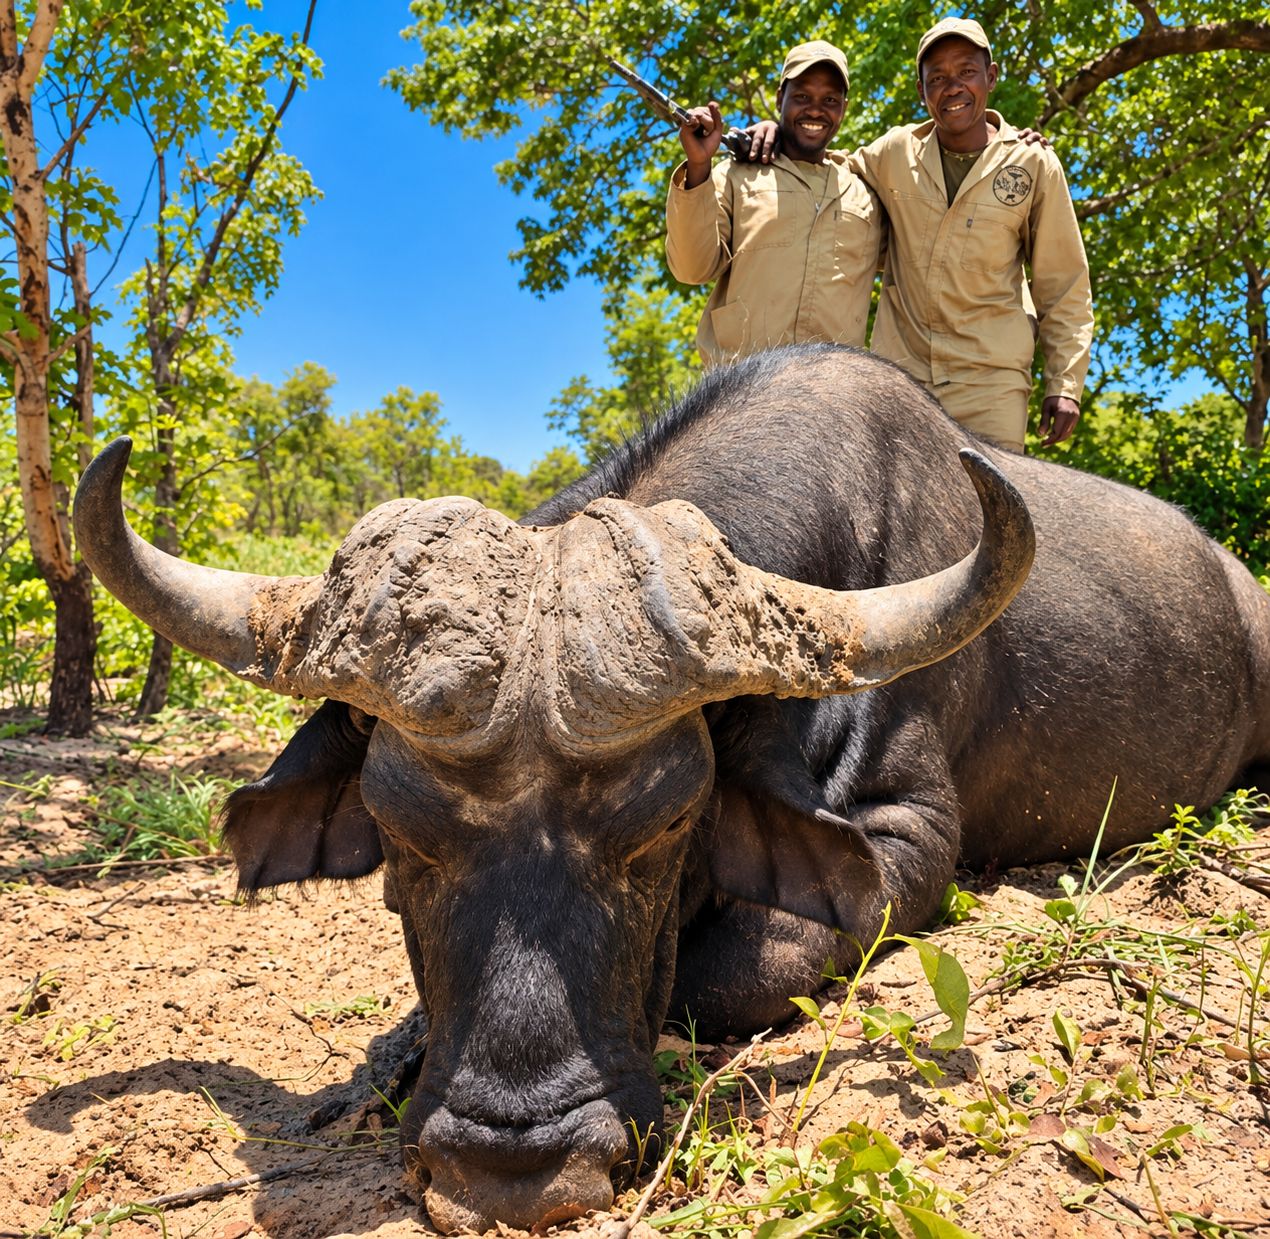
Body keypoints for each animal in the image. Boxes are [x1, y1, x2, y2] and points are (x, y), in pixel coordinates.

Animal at [74, 345, 1270, 1233]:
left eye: (667, 824)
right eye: (396, 831)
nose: (513, 1167)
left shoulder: (910, 843)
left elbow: (722, 977)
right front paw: (381, 1060)